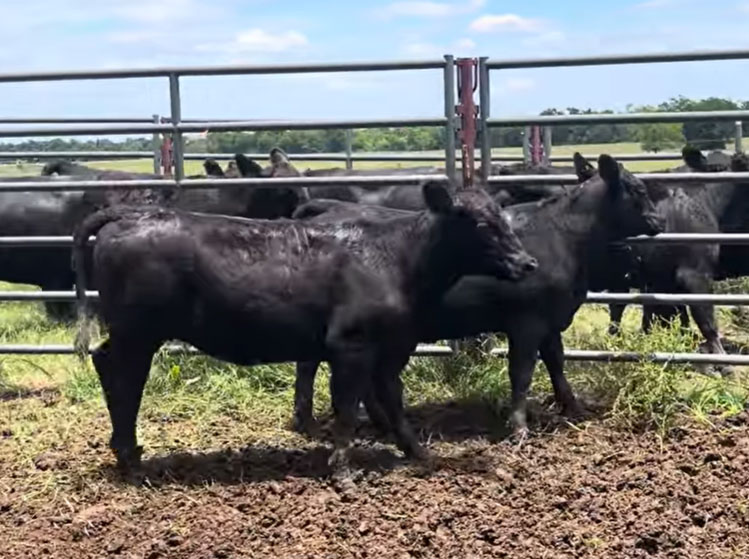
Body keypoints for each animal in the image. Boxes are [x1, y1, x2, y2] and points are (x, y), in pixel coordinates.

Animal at [70, 181, 538, 478]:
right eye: (479, 224)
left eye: (503, 218)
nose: (528, 263)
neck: (395, 257)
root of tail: (132, 215)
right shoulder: (352, 345)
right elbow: (347, 408)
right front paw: (343, 470)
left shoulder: (390, 348)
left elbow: (393, 401)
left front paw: (419, 452)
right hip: (137, 333)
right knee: (124, 378)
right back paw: (131, 459)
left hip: (132, 334)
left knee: (108, 367)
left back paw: (128, 454)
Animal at [290, 155, 664, 437]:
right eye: (638, 188)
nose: (659, 220)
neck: (564, 236)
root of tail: (328, 209)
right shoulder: (526, 321)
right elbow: (522, 372)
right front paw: (519, 426)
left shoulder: (549, 320)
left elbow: (557, 364)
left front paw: (573, 407)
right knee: (307, 365)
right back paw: (308, 421)